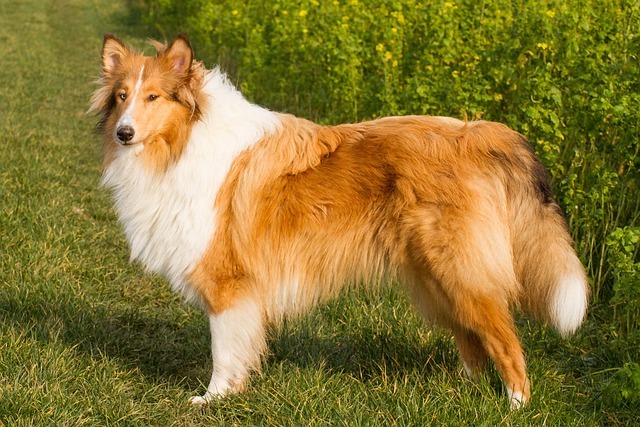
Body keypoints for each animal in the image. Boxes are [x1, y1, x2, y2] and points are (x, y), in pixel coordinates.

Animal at [91, 33, 592, 408]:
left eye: (153, 96)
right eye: (122, 97)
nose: (124, 133)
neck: (184, 141)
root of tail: (482, 134)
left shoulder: (228, 283)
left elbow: (223, 349)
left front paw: (213, 399)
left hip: (461, 272)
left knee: (506, 342)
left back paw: (515, 406)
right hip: (435, 279)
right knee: (472, 341)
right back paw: (465, 395)